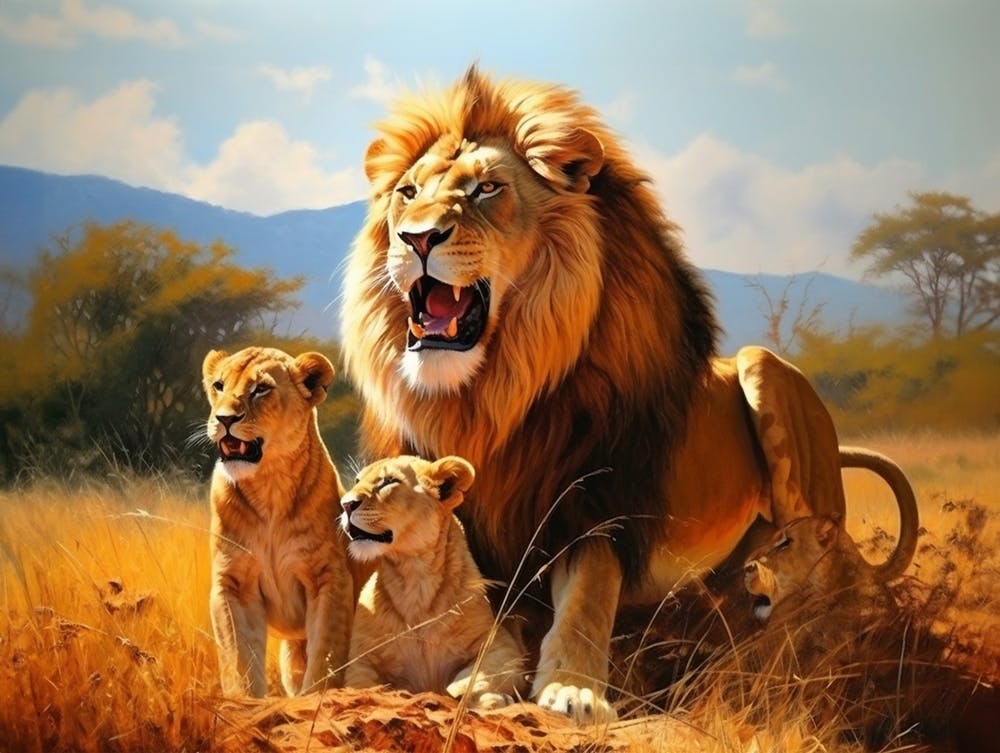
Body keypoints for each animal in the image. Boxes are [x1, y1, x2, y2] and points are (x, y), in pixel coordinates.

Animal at [202, 346, 356, 697]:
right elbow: (238, 658)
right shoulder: (232, 583)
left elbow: (326, 654)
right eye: (219, 385)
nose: (224, 419)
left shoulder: (330, 579)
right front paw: (244, 703)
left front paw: (316, 699)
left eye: (261, 389)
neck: (270, 484)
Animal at [340, 454, 526, 709]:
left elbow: (481, 673)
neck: (415, 577)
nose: (345, 504)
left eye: (389, 481)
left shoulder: (501, 643)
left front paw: (485, 698)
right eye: (357, 481)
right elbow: (360, 687)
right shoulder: (360, 660)